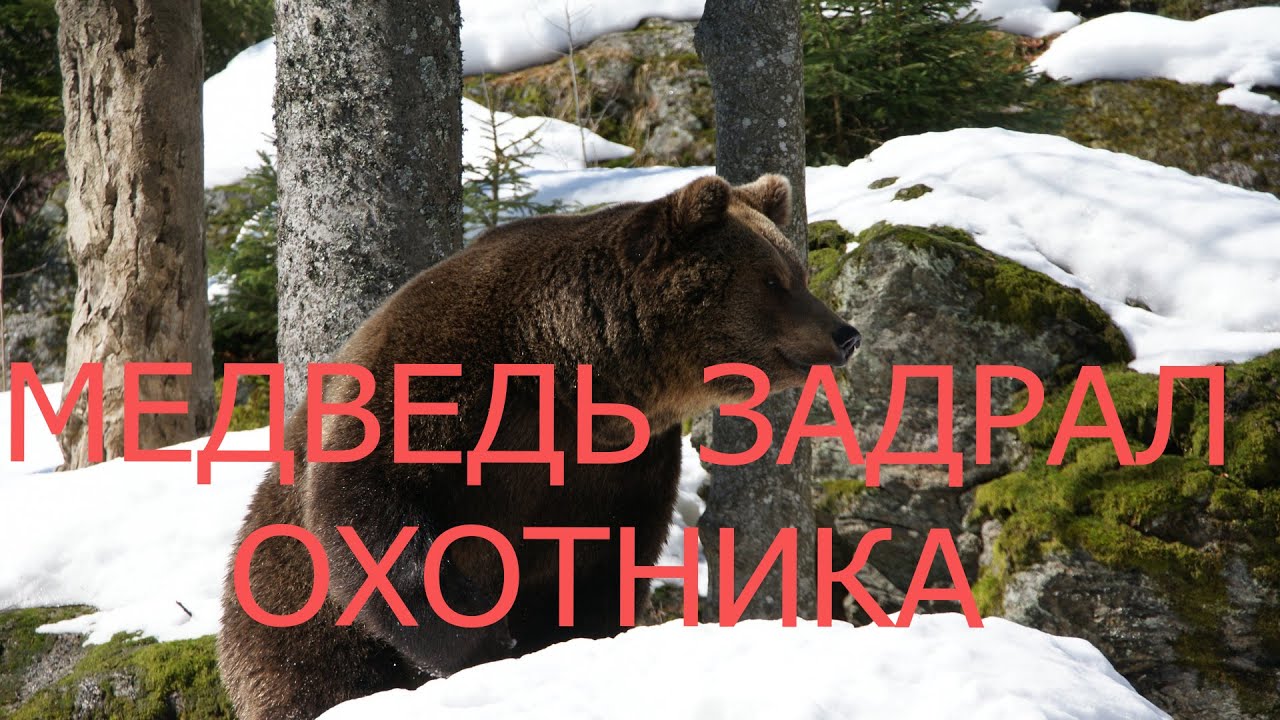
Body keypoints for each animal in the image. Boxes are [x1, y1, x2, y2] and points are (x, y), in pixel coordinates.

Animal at [217, 173, 861, 720]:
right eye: (773, 280)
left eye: (797, 272)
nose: (845, 333)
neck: (568, 369)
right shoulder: (438, 385)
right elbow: (375, 512)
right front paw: (482, 642)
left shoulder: (621, 462)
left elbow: (602, 557)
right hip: (287, 616)